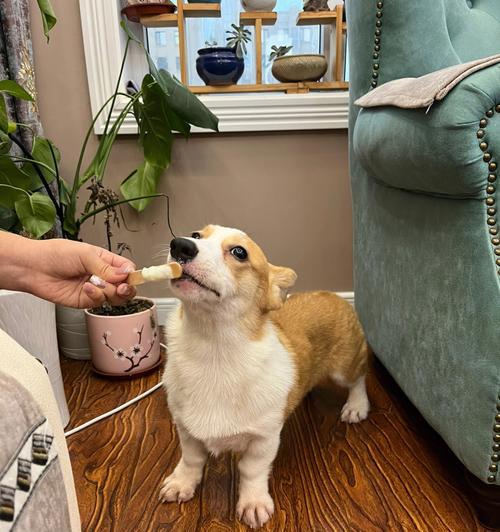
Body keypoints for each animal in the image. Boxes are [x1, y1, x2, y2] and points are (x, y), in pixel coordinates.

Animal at [161, 224, 372, 528]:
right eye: (196, 235)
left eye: (239, 252)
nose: (180, 245)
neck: (212, 347)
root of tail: (331, 294)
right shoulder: (186, 430)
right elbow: (190, 460)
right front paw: (181, 484)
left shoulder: (264, 439)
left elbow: (252, 470)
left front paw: (253, 504)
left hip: (344, 367)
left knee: (359, 379)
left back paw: (356, 407)